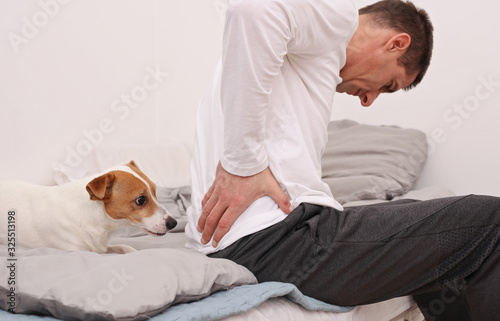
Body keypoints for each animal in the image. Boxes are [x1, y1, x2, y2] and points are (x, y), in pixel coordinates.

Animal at [0, 160, 176, 252]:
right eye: (140, 200)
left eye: (155, 191)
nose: (173, 223)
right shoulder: (77, 251)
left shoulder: (101, 248)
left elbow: (125, 248)